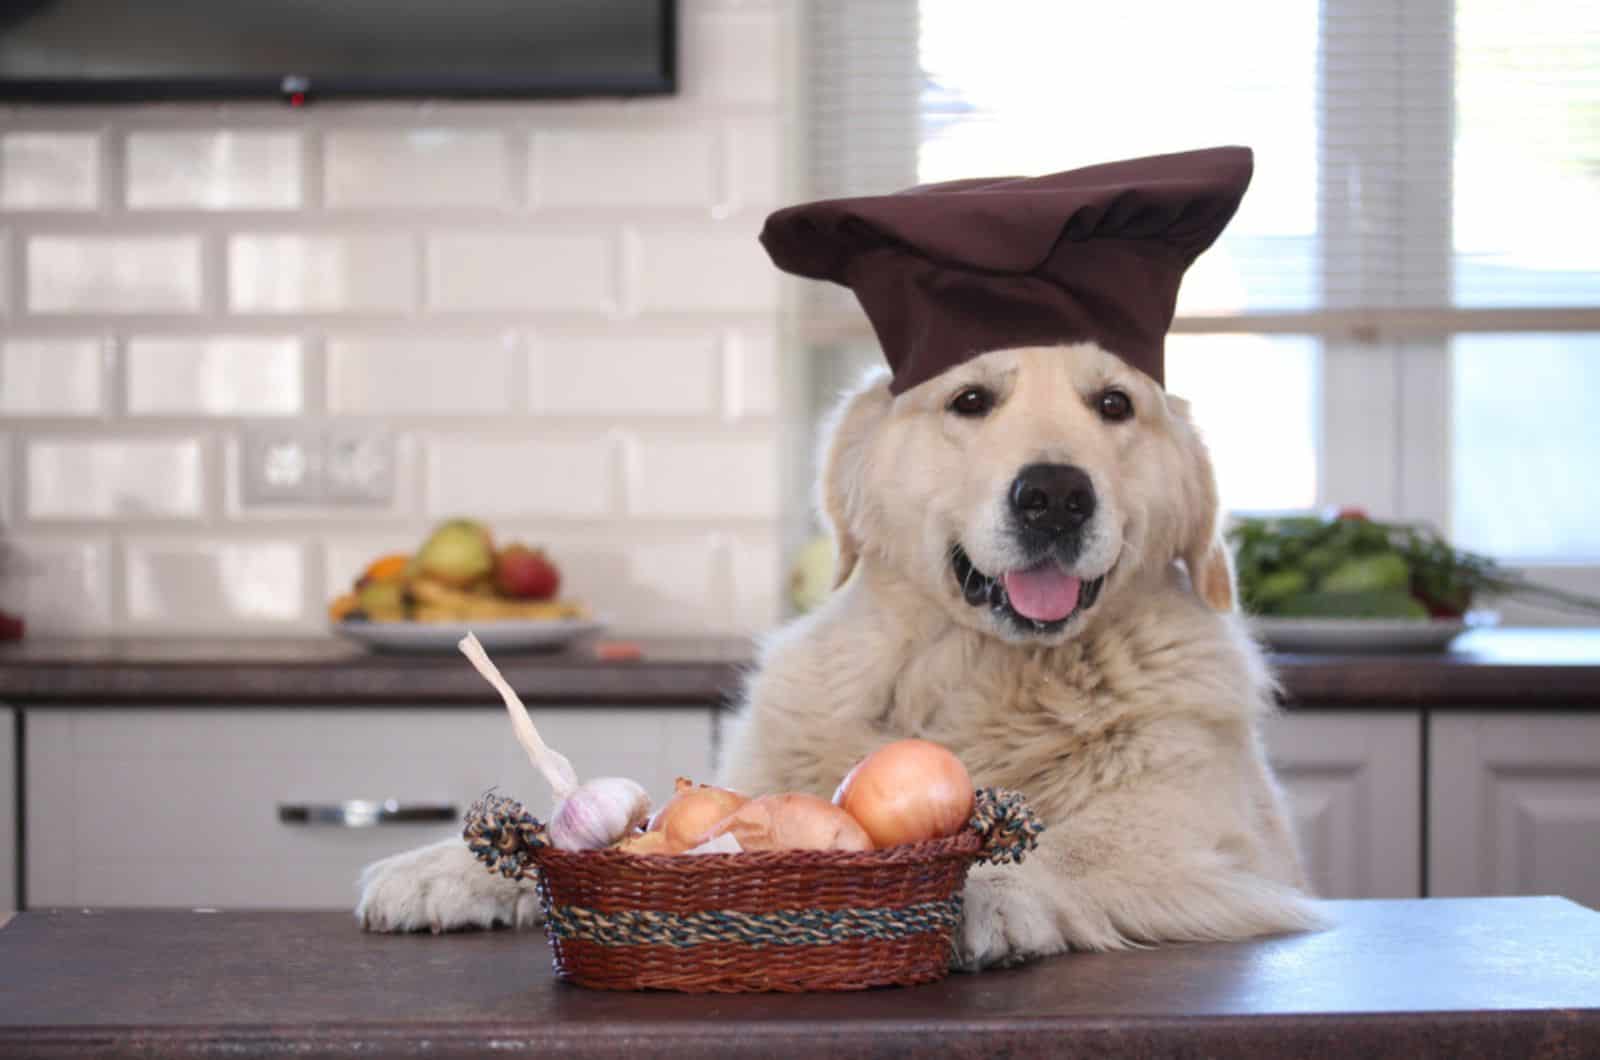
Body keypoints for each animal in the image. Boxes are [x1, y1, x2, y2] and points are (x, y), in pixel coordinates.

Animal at [356, 342, 1318, 973]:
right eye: (972, 400)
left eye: (1116, 405)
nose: (1054, 495)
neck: (982, 673)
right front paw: (442, 869)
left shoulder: (1207, 846)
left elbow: (1074, 846)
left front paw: (979, 893)